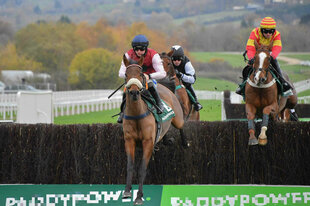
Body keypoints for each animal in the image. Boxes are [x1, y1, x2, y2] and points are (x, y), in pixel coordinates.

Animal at [121, 53, 184, 204]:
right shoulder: (129, 141)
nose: (133, 92)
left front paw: (139, 196)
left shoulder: (148, 142)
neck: (137, 114)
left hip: (178, 119)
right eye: (126, 74)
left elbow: (142, 169)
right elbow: (130, 166)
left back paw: (185, 142)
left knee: (182, 126)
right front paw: (127, 191)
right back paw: (166, 140)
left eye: (140, 74)